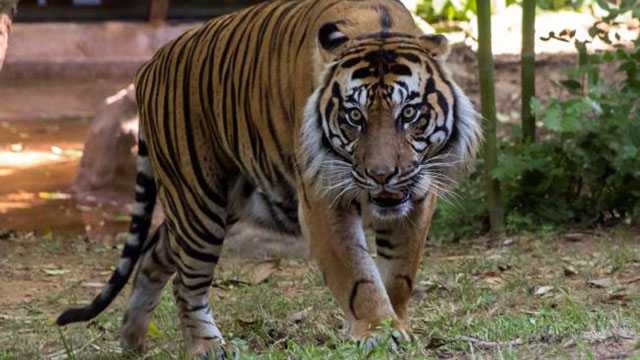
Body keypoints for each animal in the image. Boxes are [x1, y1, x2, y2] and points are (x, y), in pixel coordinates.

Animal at [58, 0, 480, 358]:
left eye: (409, 113)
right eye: (354, 117)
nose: (381, 175)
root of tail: (150, 64)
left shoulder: (419, 195)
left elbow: (399, 274)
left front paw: (396, 323)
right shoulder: (323, 198)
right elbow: (358, 275)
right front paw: (377, 331)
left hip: (222, 201)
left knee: (153, 253)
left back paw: (132, 339)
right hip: (198, 201)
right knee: (185, 280)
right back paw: (206, 346)